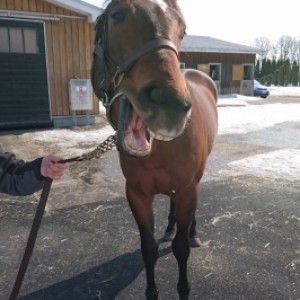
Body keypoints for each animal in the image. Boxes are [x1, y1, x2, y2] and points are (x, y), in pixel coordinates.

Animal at [91, 1, 218, 298]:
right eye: (117, 15)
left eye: (182, 30)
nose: (170, 102)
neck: (160, 148)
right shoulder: (137, 195)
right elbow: (148, 249)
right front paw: (152, 292)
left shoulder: (188, 190)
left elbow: (181, 250)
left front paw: (183, 288)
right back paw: (171, 228)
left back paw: (192, 233)